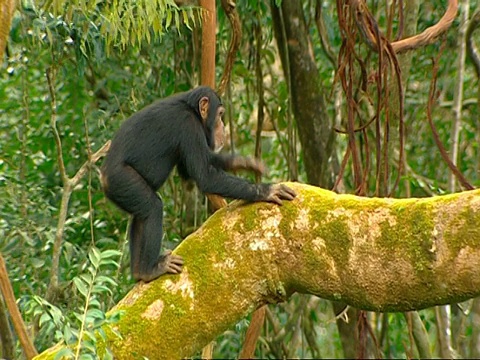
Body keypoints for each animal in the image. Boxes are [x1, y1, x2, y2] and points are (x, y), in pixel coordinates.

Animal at [101, 86, 296, 282]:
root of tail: (103, 177)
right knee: (152, 207)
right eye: (220, 114)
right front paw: (268, 190)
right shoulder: (189, 126)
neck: (191, 109)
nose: (223, 127)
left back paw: (139, 271)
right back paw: (152, 269)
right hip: (122, 180)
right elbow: (204, 176)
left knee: (140, 215)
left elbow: (192, 169)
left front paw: (242, 162)